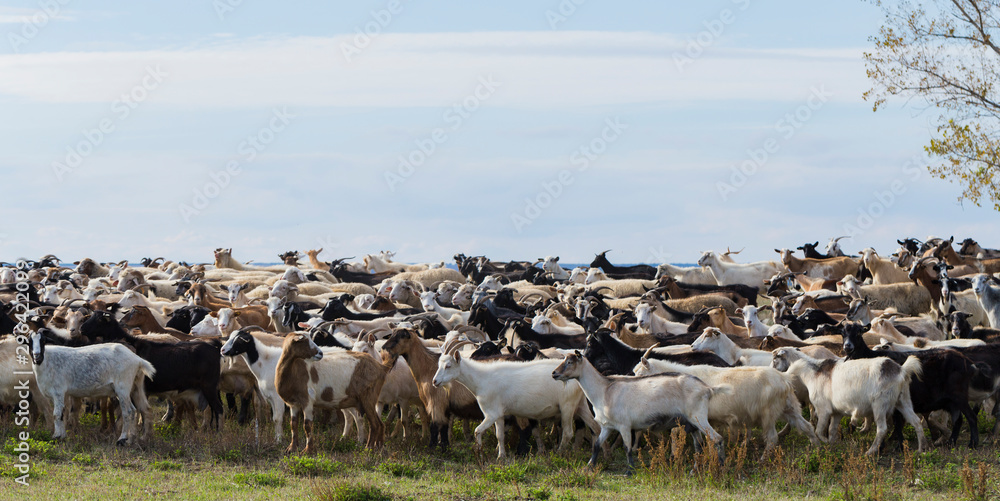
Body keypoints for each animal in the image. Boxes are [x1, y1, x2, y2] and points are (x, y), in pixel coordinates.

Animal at [552, 352, 725, 473]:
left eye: (569, 362)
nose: (554, 373)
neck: (604, 390)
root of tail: (707, 388)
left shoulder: (624, 425)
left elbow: (627, 448)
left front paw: (630, 471)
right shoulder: (607, 426)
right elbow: (597, 445)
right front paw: (588, 467)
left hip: (698, 417)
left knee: (717, 439)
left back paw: (721, 468)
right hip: (691, 423)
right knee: (699, 446)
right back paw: (694, 471)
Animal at [633, 353, 820, 457]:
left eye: (641, 373)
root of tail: (784, 377)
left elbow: (674, 435)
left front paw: (674, 456)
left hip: (768, 414)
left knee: (772, 438)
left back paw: (763, 459)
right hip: (790, 408)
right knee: (807, 427)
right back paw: (817, 449)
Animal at [770, 347, 927, 455]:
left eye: (775, 359)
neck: (813, 372)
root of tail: (901, 370)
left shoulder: (823, 409)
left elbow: (819, 431)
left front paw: (825, 443)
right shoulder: (836, 412)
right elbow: (832, 430)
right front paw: (834, 444)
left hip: (880, 404)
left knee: (882, 429)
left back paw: (870, 452)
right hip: (903, 400)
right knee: (916, 422)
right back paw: (921, 450)